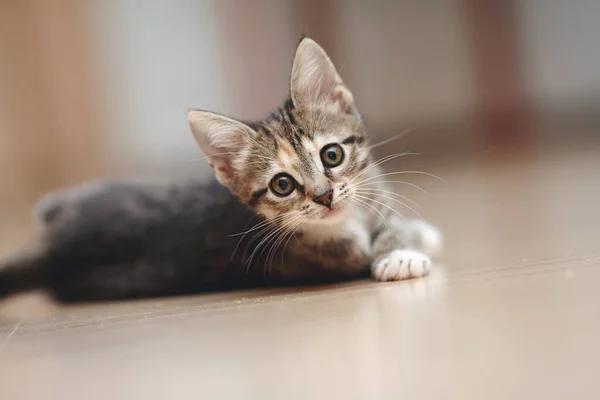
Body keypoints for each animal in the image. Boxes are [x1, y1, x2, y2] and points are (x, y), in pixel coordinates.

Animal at [0, 38, 440, 304]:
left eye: (332, 155)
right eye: (282, 185)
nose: (325, 196)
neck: (348, 221)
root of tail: (55, 247)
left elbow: (394, 221)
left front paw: (409, 239)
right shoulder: (326, 260)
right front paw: (402, 254)